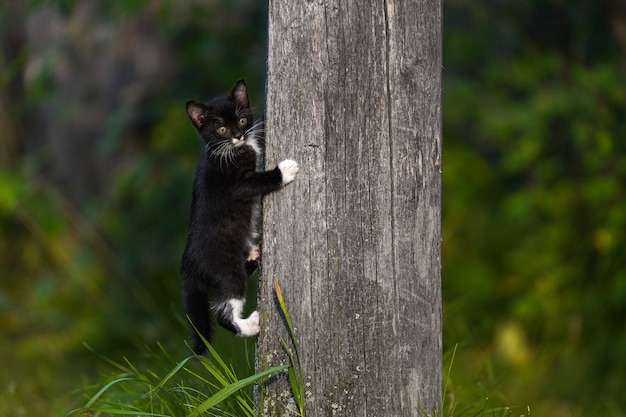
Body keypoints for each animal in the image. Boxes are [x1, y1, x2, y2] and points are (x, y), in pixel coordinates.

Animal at [180, 79, 298, 352]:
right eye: (221, 128)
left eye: (242, 121)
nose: (237, 135)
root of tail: (189, 265)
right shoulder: (237, 183)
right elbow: (258, 181)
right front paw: (285, 170)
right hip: (225, 270)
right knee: (224, 312)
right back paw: (250, 325)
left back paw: (254, 255)